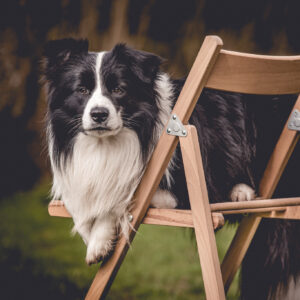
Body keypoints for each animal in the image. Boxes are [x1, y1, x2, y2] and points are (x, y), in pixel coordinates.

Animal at [42, 38, 300, 298]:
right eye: (81, 90)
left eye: (118, 89)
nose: (99, 114)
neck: (109, 144)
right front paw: (91, 230)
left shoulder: (190, 186)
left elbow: (124, 197)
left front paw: (99, 241)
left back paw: (241, 191)